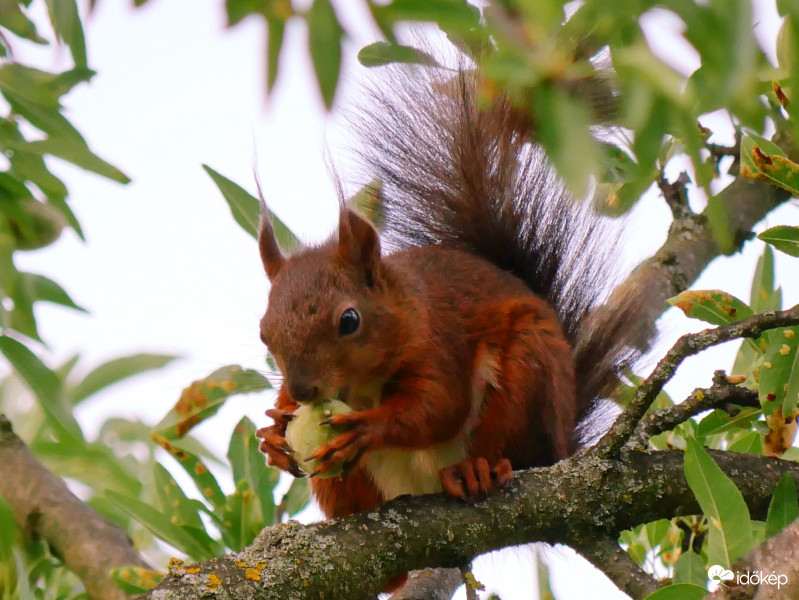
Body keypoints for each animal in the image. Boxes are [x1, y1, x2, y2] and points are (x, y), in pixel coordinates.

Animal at [256, 65, 656, 520]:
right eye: (264, 333)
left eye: (349, 320)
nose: (303, 391)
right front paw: (272, 434)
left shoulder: (437, 340)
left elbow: (439, 405)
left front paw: (366, 428)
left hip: (529, 374)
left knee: (512, 449)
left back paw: (476, 470)